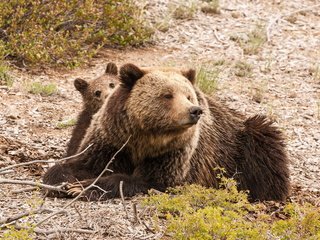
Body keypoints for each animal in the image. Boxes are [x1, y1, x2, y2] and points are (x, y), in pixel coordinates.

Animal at [43, 63, 292, 201]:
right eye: (167, 95)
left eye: (189, 95)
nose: (194, 111)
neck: (146, 137)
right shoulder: (112, 140)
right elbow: (79, 163)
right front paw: (65, 182)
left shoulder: (174, 154)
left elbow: (148, 180)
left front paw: (82, 187)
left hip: (241, 142)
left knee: (265, 146)